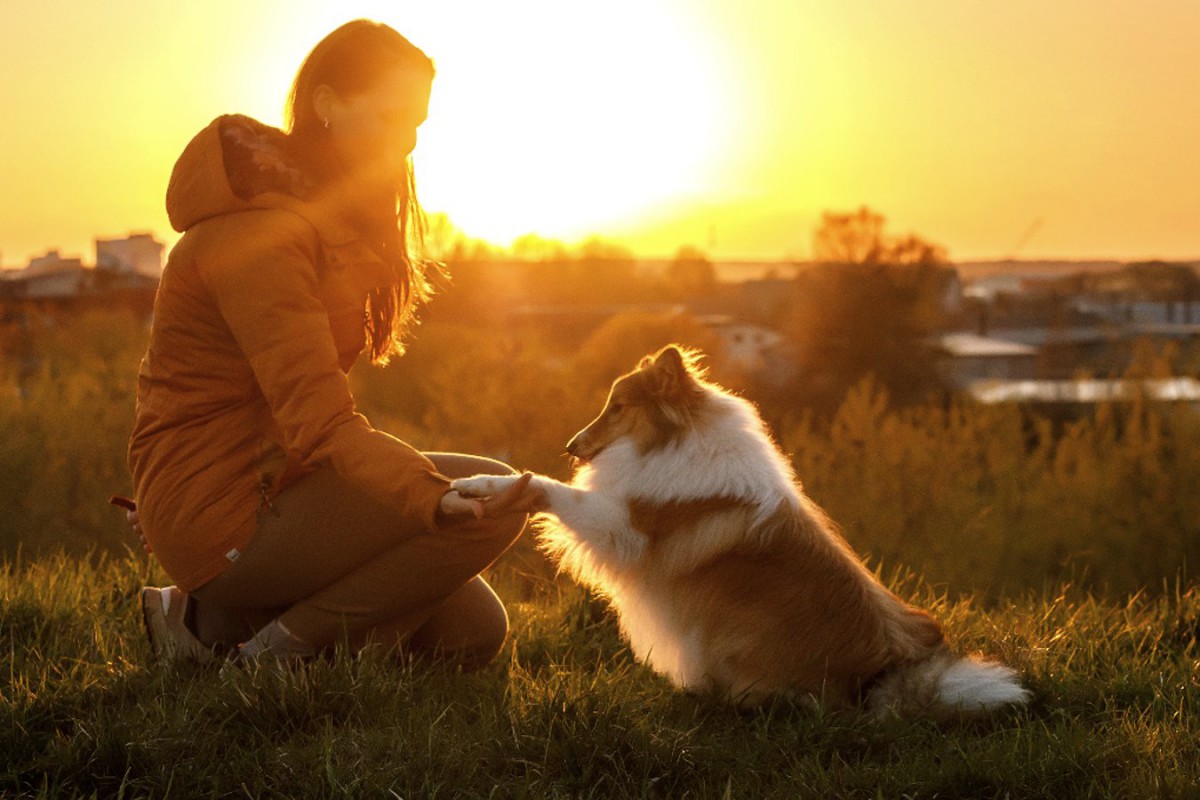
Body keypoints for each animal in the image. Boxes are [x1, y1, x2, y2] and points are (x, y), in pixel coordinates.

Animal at [453, 347, 1027, 714]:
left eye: (618, 407)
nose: (571, 446)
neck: (676, 440)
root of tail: (886, 671)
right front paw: (478, 483)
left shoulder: (625, 531)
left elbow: (549, 489)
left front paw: (496, 484)